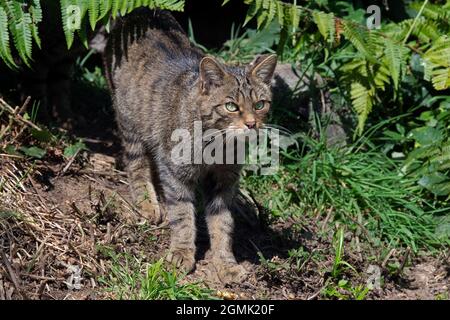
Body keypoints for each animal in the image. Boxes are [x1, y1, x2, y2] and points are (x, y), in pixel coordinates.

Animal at [104, 8, 278, 282]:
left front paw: (225, 262)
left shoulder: (224, 181)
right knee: (137, 164)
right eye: (231, 106)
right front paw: (181, 253)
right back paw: (147, 202)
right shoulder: (175, 174)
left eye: (260, 104)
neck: (218, 144)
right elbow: (183, 216)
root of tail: (140, 11)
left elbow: (223, 224)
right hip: (129, 122)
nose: (252, 124)